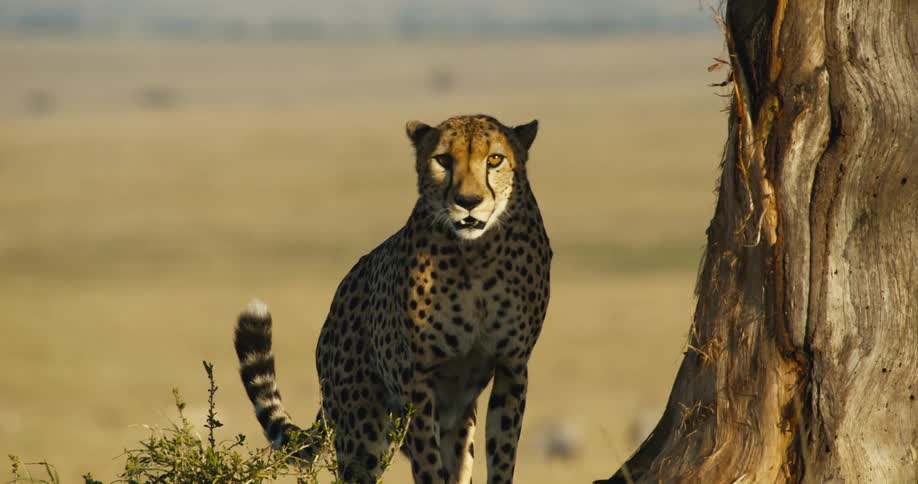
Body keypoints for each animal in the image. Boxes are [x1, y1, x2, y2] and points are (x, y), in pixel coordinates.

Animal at [234, 114, 552, 484]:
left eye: (495, 159)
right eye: (443, 160)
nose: (469, 201)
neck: (477, 253)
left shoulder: (511, 366)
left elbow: (502, 454)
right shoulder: (416, 377)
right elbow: (428, 463)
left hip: (455, 415)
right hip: (362, 432)